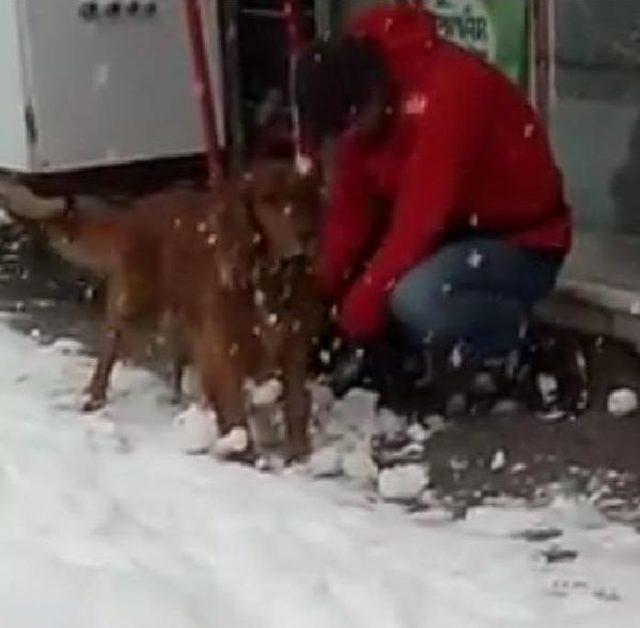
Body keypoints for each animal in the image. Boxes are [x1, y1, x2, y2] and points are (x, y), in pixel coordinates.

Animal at [0, 163, 320, 462]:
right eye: (269, 199)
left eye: (303, 196)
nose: (306, 235)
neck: (268, 278)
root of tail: (137, 209)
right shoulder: (224, 348)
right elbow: (235, 413)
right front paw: (248, 456)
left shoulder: (293, 345)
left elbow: (295, 404)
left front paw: (299, 457)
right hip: (134, 305)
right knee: (108, 351)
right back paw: (95, 399)